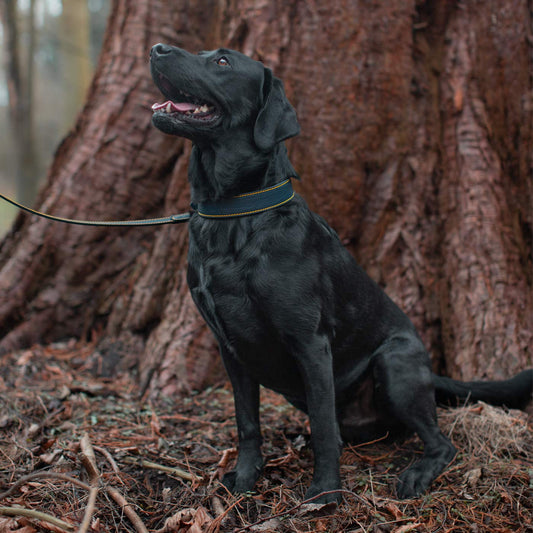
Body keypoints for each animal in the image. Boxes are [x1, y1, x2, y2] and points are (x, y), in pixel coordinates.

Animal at [151, 43, 532, 500]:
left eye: (222, 62)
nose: (157, 48)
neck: (236, 214)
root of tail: (430, 371)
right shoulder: (230, 348)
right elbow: (247, 423)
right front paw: (244, 479)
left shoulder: (310, 342)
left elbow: (322, 423)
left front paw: (325, 494)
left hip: (394, 364)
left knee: (441, 443)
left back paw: (417, 474)